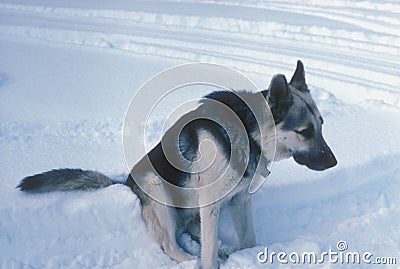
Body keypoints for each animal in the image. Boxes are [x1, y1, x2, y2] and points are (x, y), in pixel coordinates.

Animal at [18, 60, 338, 268]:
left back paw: (223, 248)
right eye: (305, 132)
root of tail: (125, 183)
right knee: (171, 244)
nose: (334, 162)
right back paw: (191, 260)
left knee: (191, 232)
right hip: (158, 189)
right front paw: (210, 259)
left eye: (322, 125)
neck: (248, 133)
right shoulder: (211, 203)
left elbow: (248, 239)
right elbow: (206, 253)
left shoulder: (239, 201)